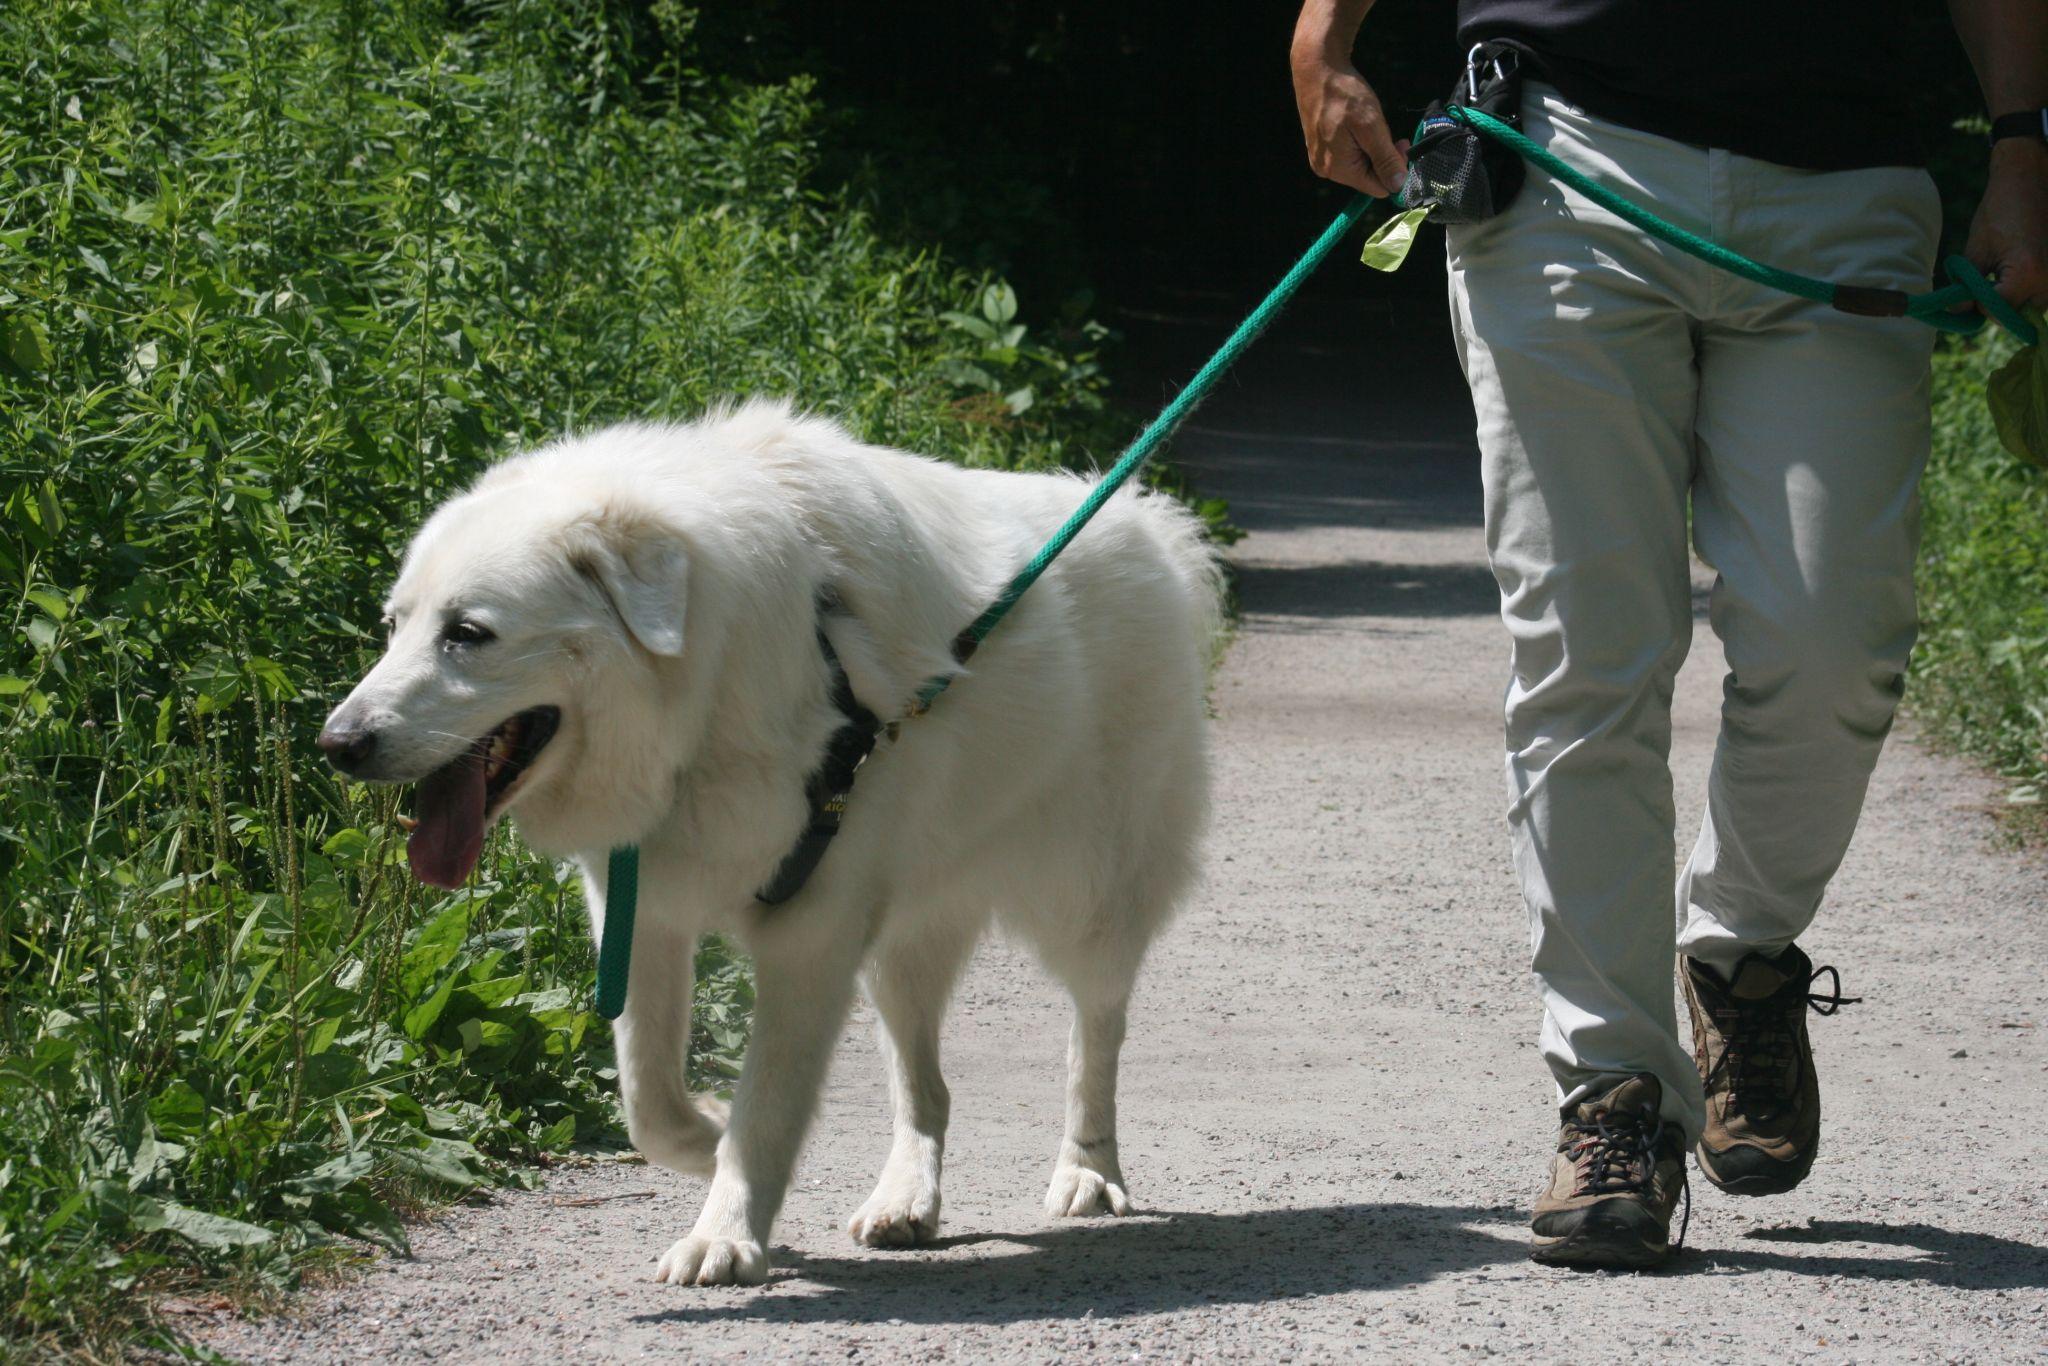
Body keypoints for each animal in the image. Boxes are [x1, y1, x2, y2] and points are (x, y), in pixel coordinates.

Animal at [319, 401, 1212, 1286]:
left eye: (468, 633)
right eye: (393, 627)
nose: (338, 744)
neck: (705, 699)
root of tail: (1153, 528)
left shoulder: (808, 940)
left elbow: (768, 1110)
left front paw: (725, 1233)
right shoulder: (642, 915)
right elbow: (648, 1100)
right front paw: (709, 1140)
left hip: (1087, 906)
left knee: (1095, 1039)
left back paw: (1087, 1173)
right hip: (902, 950)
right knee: (925, 1088)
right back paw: (904, 1201)